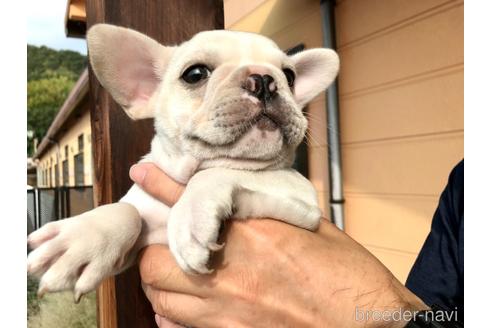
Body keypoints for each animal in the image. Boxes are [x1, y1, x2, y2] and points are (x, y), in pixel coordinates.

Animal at [26, 24, 338, 302]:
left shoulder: (300, 195)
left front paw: (190, 216)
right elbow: (127, 209)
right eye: (195, 74)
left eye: (290, 76)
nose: (263, 79)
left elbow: (216, 173)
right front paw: (84, 237)